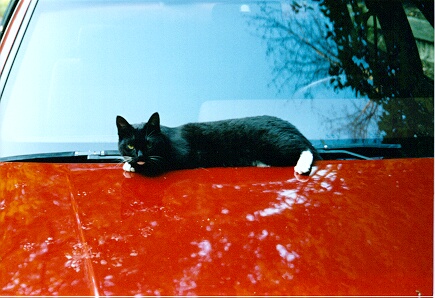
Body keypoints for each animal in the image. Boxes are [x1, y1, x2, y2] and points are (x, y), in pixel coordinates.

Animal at [116, 113, 320, 176]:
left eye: (149, 144)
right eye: (131, 146)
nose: (140, 155)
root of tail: (290, 126)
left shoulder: (182, 153)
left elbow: (159, 162)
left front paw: (132, 165)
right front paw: (130, 162)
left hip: (274, 143)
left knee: (304, 148)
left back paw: (301, 165)